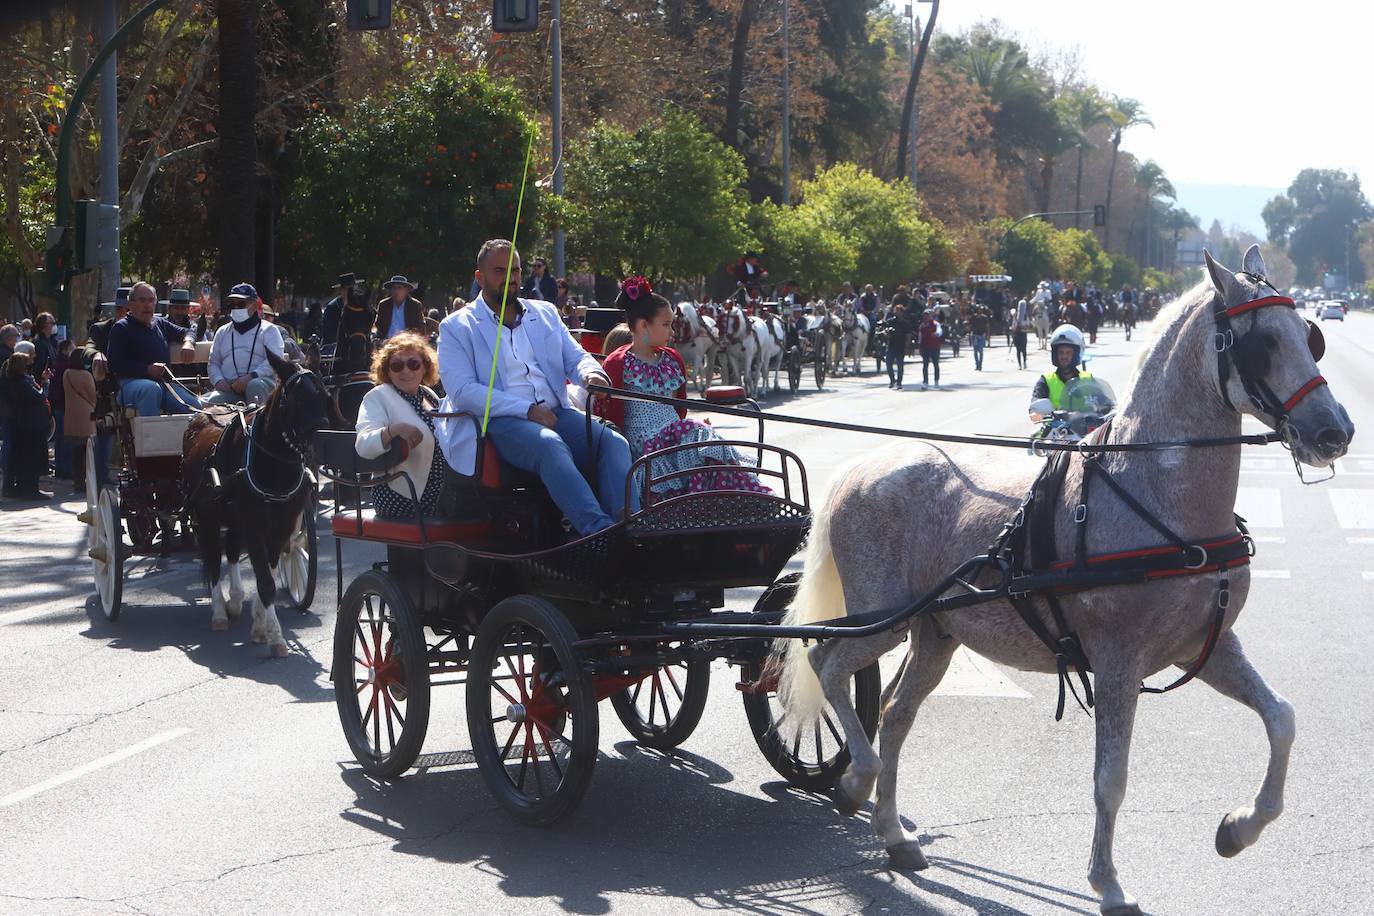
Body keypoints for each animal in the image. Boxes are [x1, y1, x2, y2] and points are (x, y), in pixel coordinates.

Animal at [780, 243, 1357, 916]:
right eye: (1262, 341)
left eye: (1310, 336)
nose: (1334, 432)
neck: (1152, 493)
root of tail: (865, 465)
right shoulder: (1117, 662)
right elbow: (1111, 779)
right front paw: (1108, 882)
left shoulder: (1207, 647)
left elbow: (1282, 719)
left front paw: (1240, 827)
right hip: (881, 621)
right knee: (826, 665)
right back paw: (856, 778)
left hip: (935, 633)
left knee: (895, 713)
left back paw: (893, 831)